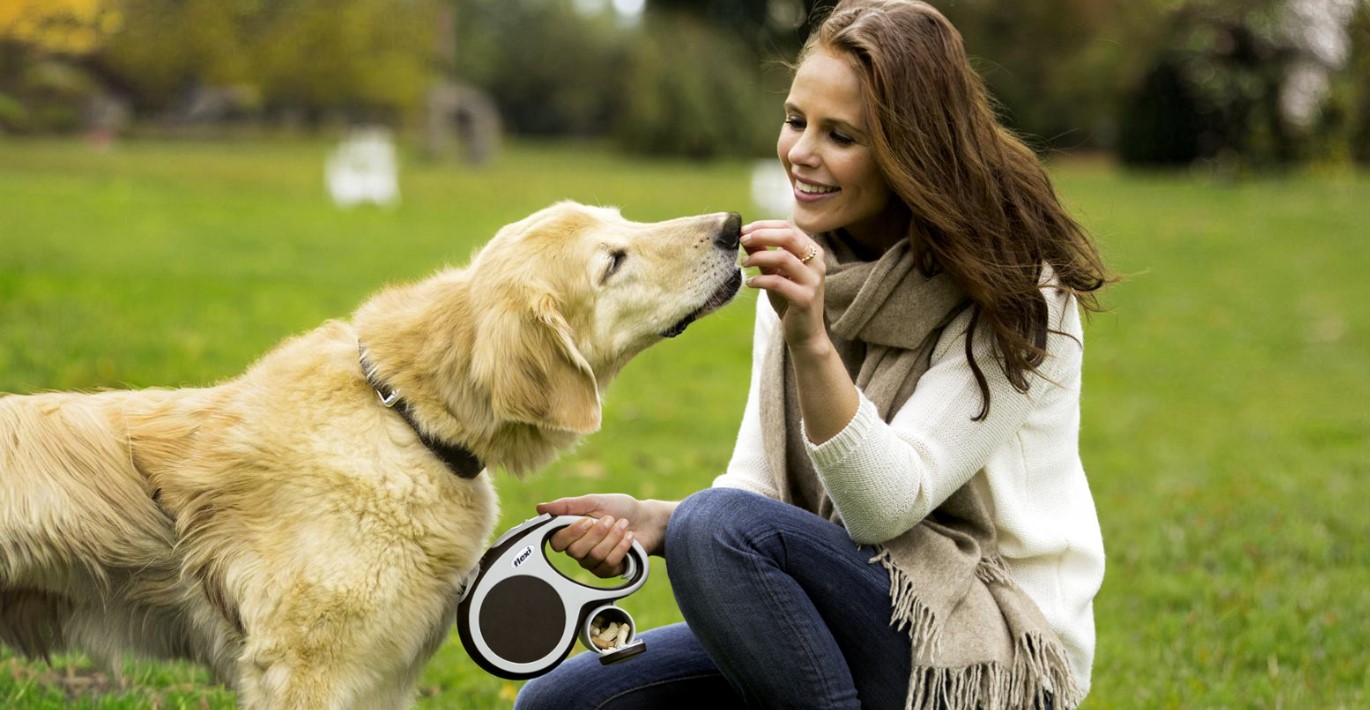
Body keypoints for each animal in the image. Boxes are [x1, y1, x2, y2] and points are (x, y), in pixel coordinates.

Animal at [0, 202, 745, 707]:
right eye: (612, 261)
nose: (734, 225)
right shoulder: (311, 672)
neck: (407, 419)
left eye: (626, 219)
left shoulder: (379, 673)